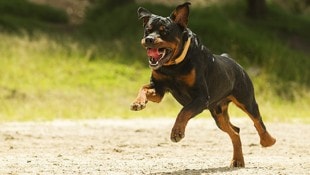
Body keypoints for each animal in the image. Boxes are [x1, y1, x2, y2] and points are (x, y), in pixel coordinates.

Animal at [130, 2, 274, 167]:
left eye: (164, 31)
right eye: (147, 30)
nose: (148, 39)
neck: (174, 65)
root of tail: (233, 61)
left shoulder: (201, 97)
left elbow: (184, 111)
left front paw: (177, 132)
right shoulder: (159, 89)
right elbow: (143, 88)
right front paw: (138, 103)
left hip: (246, 99)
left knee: (258, 121)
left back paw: (268, 141)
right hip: (218, 114)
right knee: (235, 131)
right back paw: (238, 160)